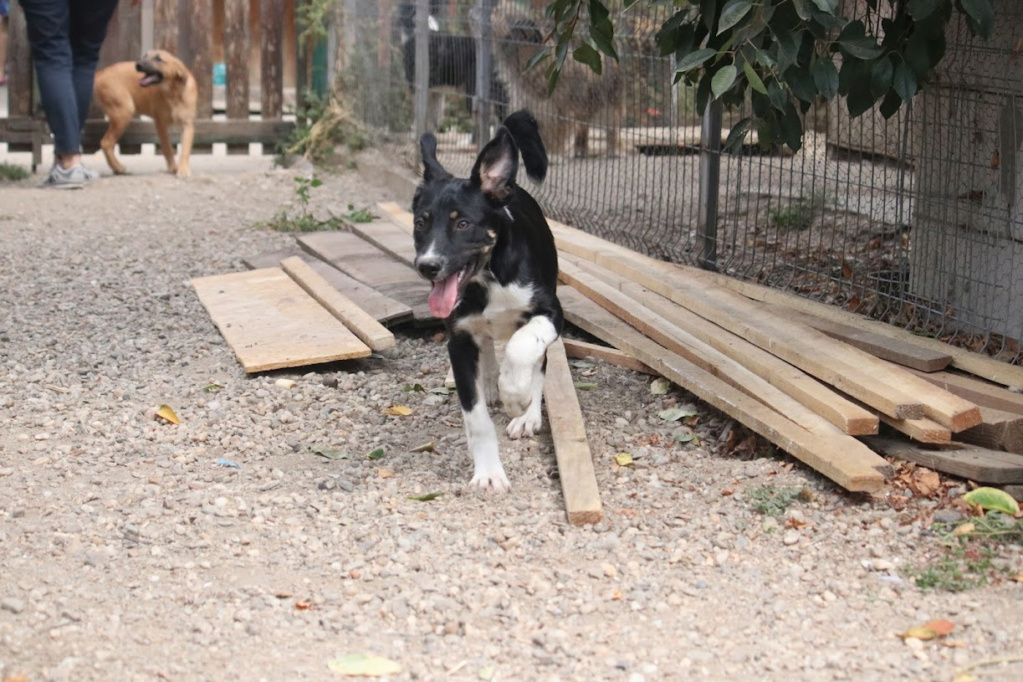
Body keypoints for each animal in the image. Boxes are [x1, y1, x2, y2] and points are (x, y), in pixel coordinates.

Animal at [92, 49, 197, 177]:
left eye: (158, 59)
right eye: (145, 56)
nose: (137, 65)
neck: (174, 93)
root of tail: (100, 74)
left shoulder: (188, 125)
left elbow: (185, 150)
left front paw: (183, 169)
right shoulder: (160, 124)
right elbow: (167, 148)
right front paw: (173, 167)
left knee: (109, 144)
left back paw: (115, 168)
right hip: (124, 111)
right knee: (106, 143)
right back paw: (119, 168)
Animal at [411, 110, 564, 490]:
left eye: (463, 224)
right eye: (421, 223)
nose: (427, 266)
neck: (487, 279)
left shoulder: (551, 313)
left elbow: (524, 348)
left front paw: (516, 395)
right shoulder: (459, 339)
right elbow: (476, 417)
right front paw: (489, 472)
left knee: (537, 360)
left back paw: (526, 413)